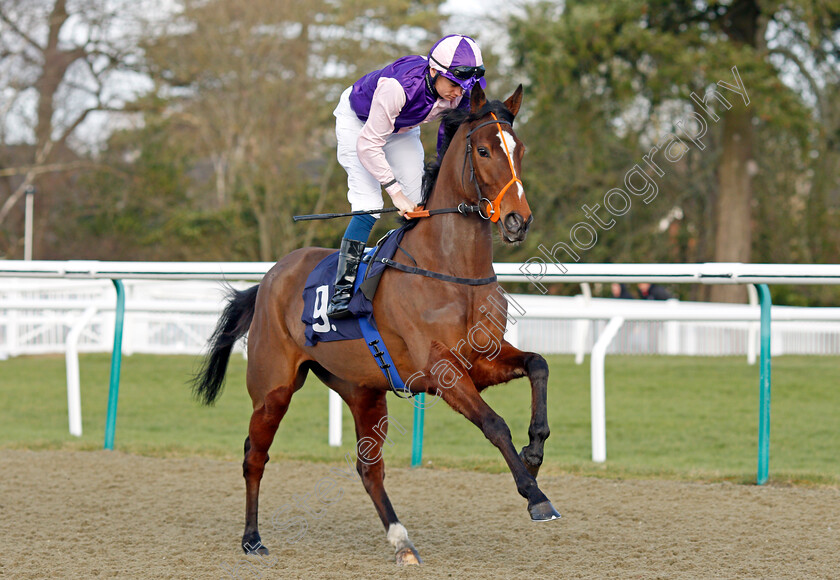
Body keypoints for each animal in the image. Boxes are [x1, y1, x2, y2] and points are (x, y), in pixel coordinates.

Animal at [194, 86, 560, 568]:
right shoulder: (442, 372)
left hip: (363, 390)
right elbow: (495, 424)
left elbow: (538, 365)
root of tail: (272, 275)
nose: (519, 220)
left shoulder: (482, 359)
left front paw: (534, 452)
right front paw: (535, 495)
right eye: (484, 150)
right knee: (255, 455)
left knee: (369, 468)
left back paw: (402, 541)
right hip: (273, 387)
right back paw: (252, 538)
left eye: (520, 150)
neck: (451, 270)